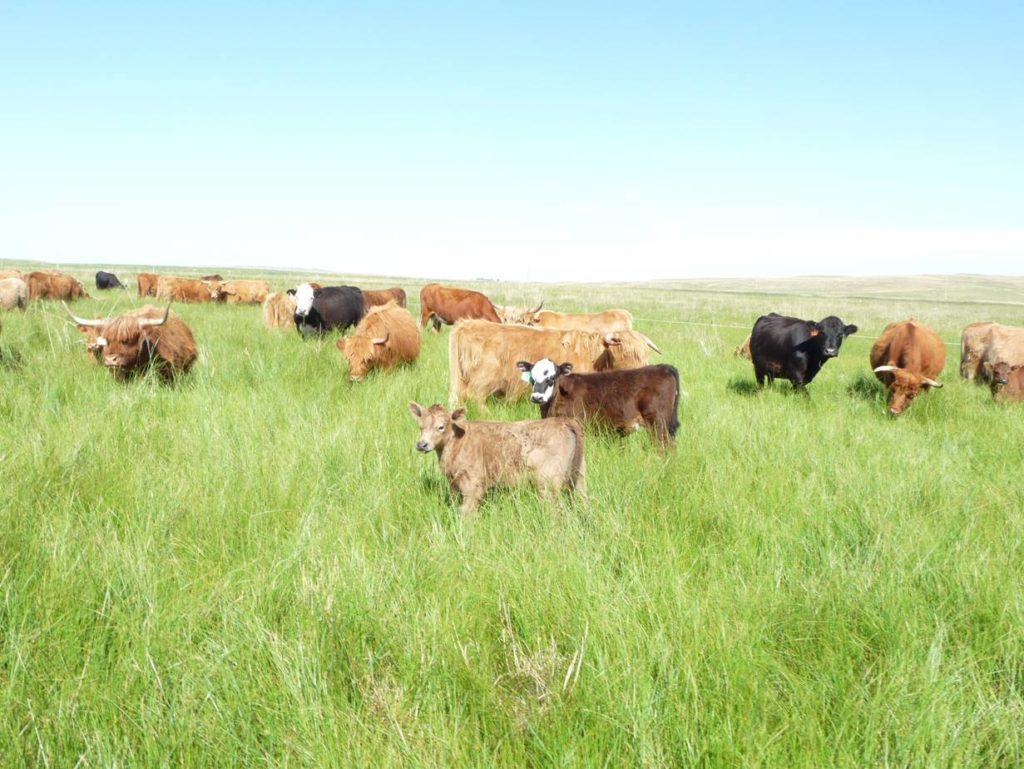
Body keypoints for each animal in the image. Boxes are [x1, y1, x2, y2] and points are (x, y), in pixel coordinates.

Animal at [405, 399, 585, 514]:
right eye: (421, 426)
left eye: (441, 427)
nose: (422, 444)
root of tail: (562, 421)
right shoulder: (454, 485)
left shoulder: (473, 485)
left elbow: (466, 512)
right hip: (579, 477)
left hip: (547, 483)